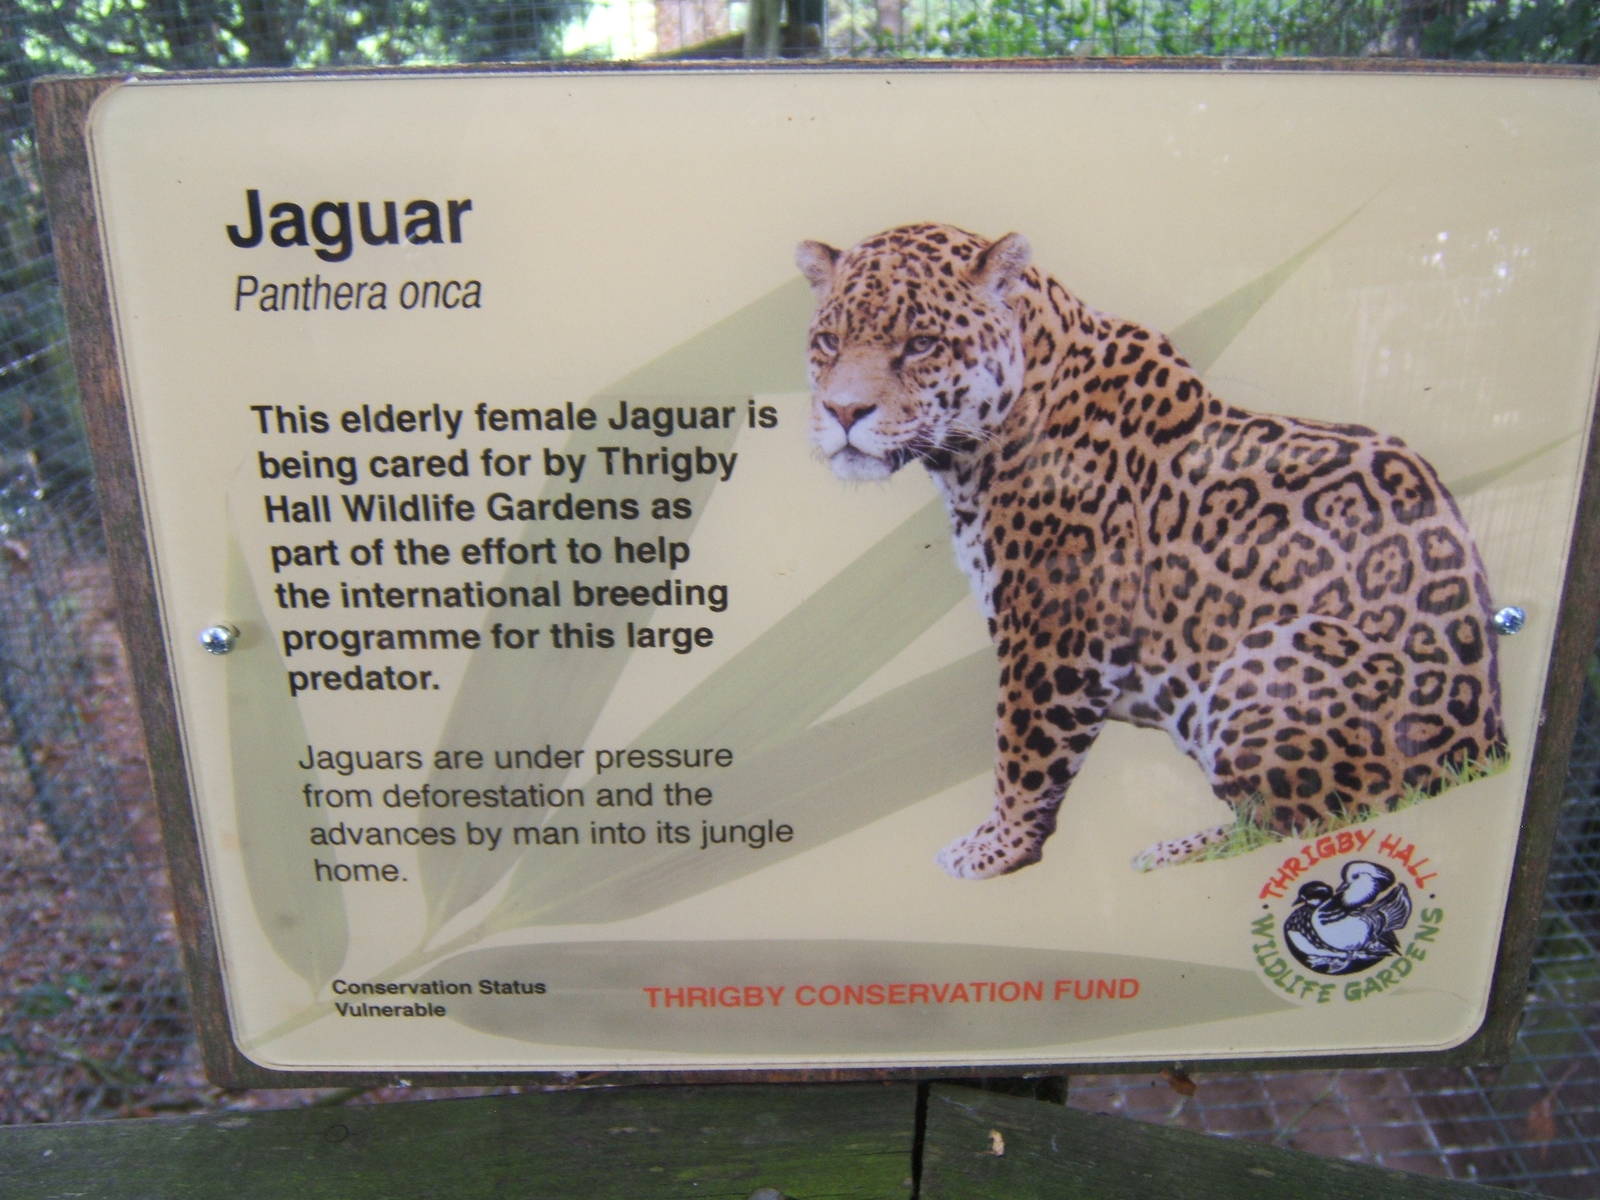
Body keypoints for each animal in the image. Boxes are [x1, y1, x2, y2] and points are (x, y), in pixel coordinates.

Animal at [796, 222, 1507, 879]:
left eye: (920, 344)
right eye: (829, 342)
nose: (844, 412)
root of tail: (1488, 746)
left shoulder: (1056, 629)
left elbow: (1024, 748)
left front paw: (994, 848)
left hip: (1277, 651)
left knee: (1315, 816)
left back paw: (1176, 853)